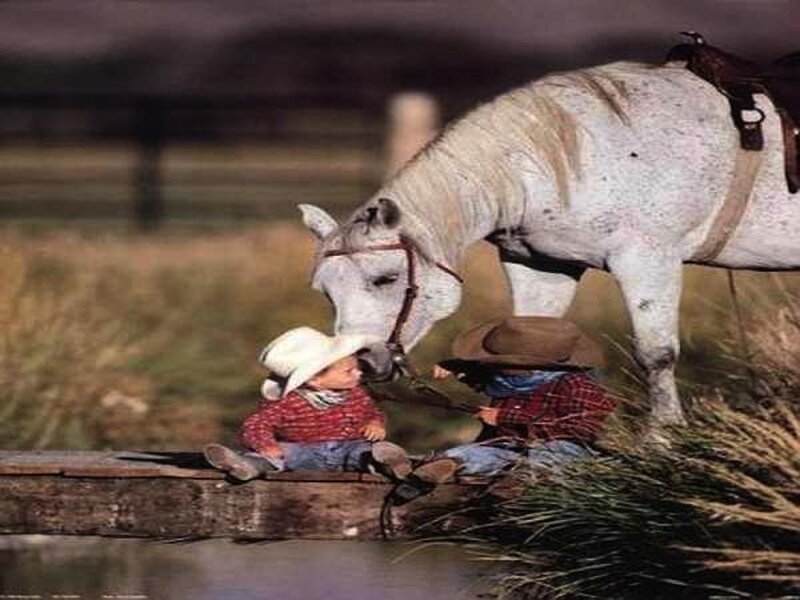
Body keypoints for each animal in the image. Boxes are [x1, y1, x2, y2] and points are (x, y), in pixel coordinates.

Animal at [297, 52, 800, 428]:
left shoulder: (647, 259)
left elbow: (656, 355)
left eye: (385, 278)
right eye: (326, 292)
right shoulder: (542, 266)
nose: (361, 363)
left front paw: (663, 440)